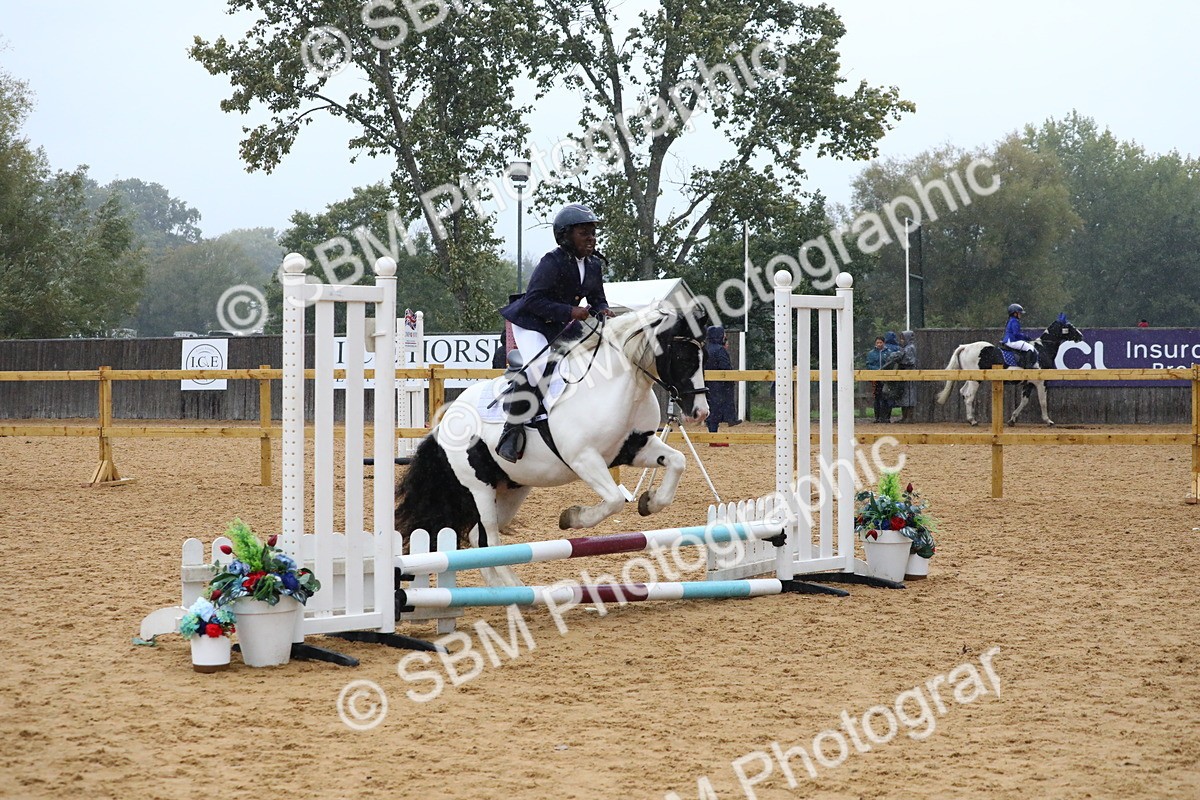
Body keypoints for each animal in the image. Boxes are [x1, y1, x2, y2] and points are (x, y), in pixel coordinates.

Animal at [394, 305, 711, 587]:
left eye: (703, 356)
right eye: (681, 356)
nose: (700, 412)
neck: (618, 387)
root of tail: (445, 421)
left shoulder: (635, 447)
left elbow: (677, 461)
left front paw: (650, 502)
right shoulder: (584, 459)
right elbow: (614, 500)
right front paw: (572, 517)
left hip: (511, 488)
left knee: (477, 537)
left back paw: (510, 588)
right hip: (480, 488)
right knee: (490, 539)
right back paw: (511, 591)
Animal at [935, 314, 1083, 426]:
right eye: (1069, 326)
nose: (1080, 336)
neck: (1043, 349)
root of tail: (965, 346)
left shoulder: (1028, 383)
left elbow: (1024, 401)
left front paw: (1012, 419)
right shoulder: (1041, 382)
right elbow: (1043, 401)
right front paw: (1048, 421)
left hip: (971, 378)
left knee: (964, 392)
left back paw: (970, 418)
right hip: (976, 380)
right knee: (969, 396)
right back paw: (973, 421)